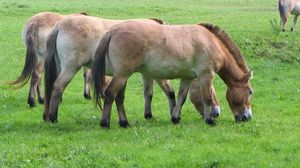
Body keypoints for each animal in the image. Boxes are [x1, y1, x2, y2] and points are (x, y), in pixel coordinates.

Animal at [92, 21, 253, 128]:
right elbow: (207, 98)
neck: (211, 41)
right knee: (110, 94)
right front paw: (209, 120)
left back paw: (124, 122)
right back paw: (105, 123)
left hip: (123, 76)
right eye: (250, 92)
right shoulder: (206, 76)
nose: (247, 117)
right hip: (122, 75)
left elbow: (181, 98)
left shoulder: (187, 78)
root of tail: (113, 31)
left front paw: (175, 118)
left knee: (119, 98)